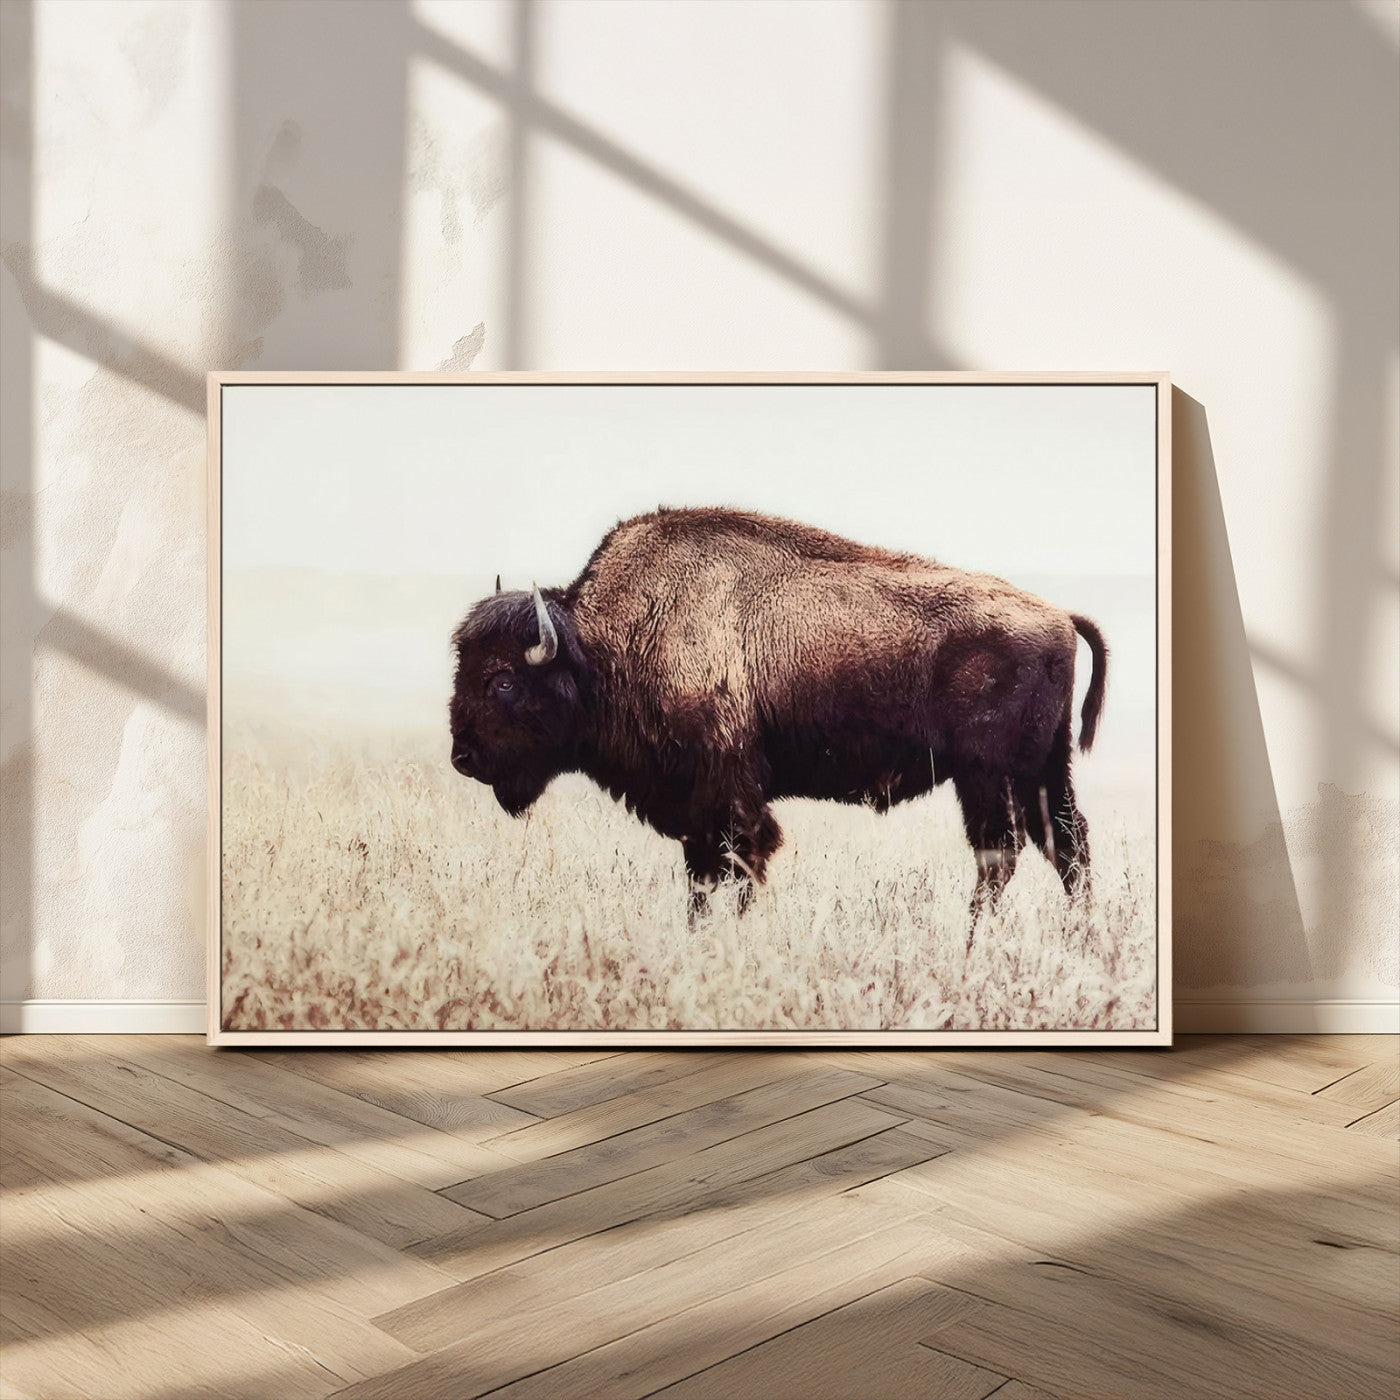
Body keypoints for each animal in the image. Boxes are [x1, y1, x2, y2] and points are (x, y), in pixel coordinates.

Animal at [449, 507, 1107, 920]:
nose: (462, 757)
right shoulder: (697, 810)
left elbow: (743, 862)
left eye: (503, 680)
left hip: (987, 776)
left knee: (1002, 853)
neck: (604, 645)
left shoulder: (730, 794)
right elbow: (703, 875)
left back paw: (972, 941)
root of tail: (1058, 615)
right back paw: (1077, 938)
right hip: (1043, 772)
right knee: (1066, 846)